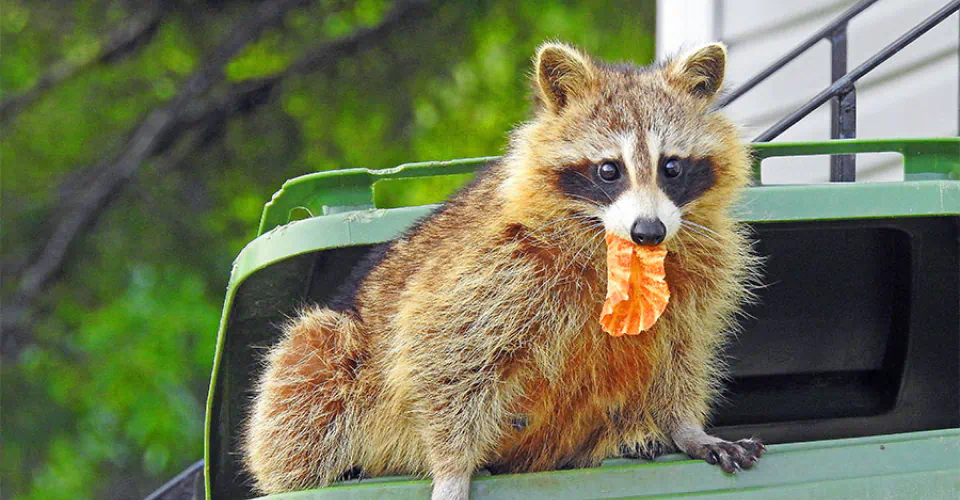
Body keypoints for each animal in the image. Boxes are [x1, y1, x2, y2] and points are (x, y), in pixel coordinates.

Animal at [243, 42, 763, 500]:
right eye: (609, 170)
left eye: (671, 167)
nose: (649, 231)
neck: (617, 248)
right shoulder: (496, 264)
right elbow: (439, 351)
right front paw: (451, 466)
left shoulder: (699, 270)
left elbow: (680, 351)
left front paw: (684, 427)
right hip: (333, 358)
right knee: (309, 365)